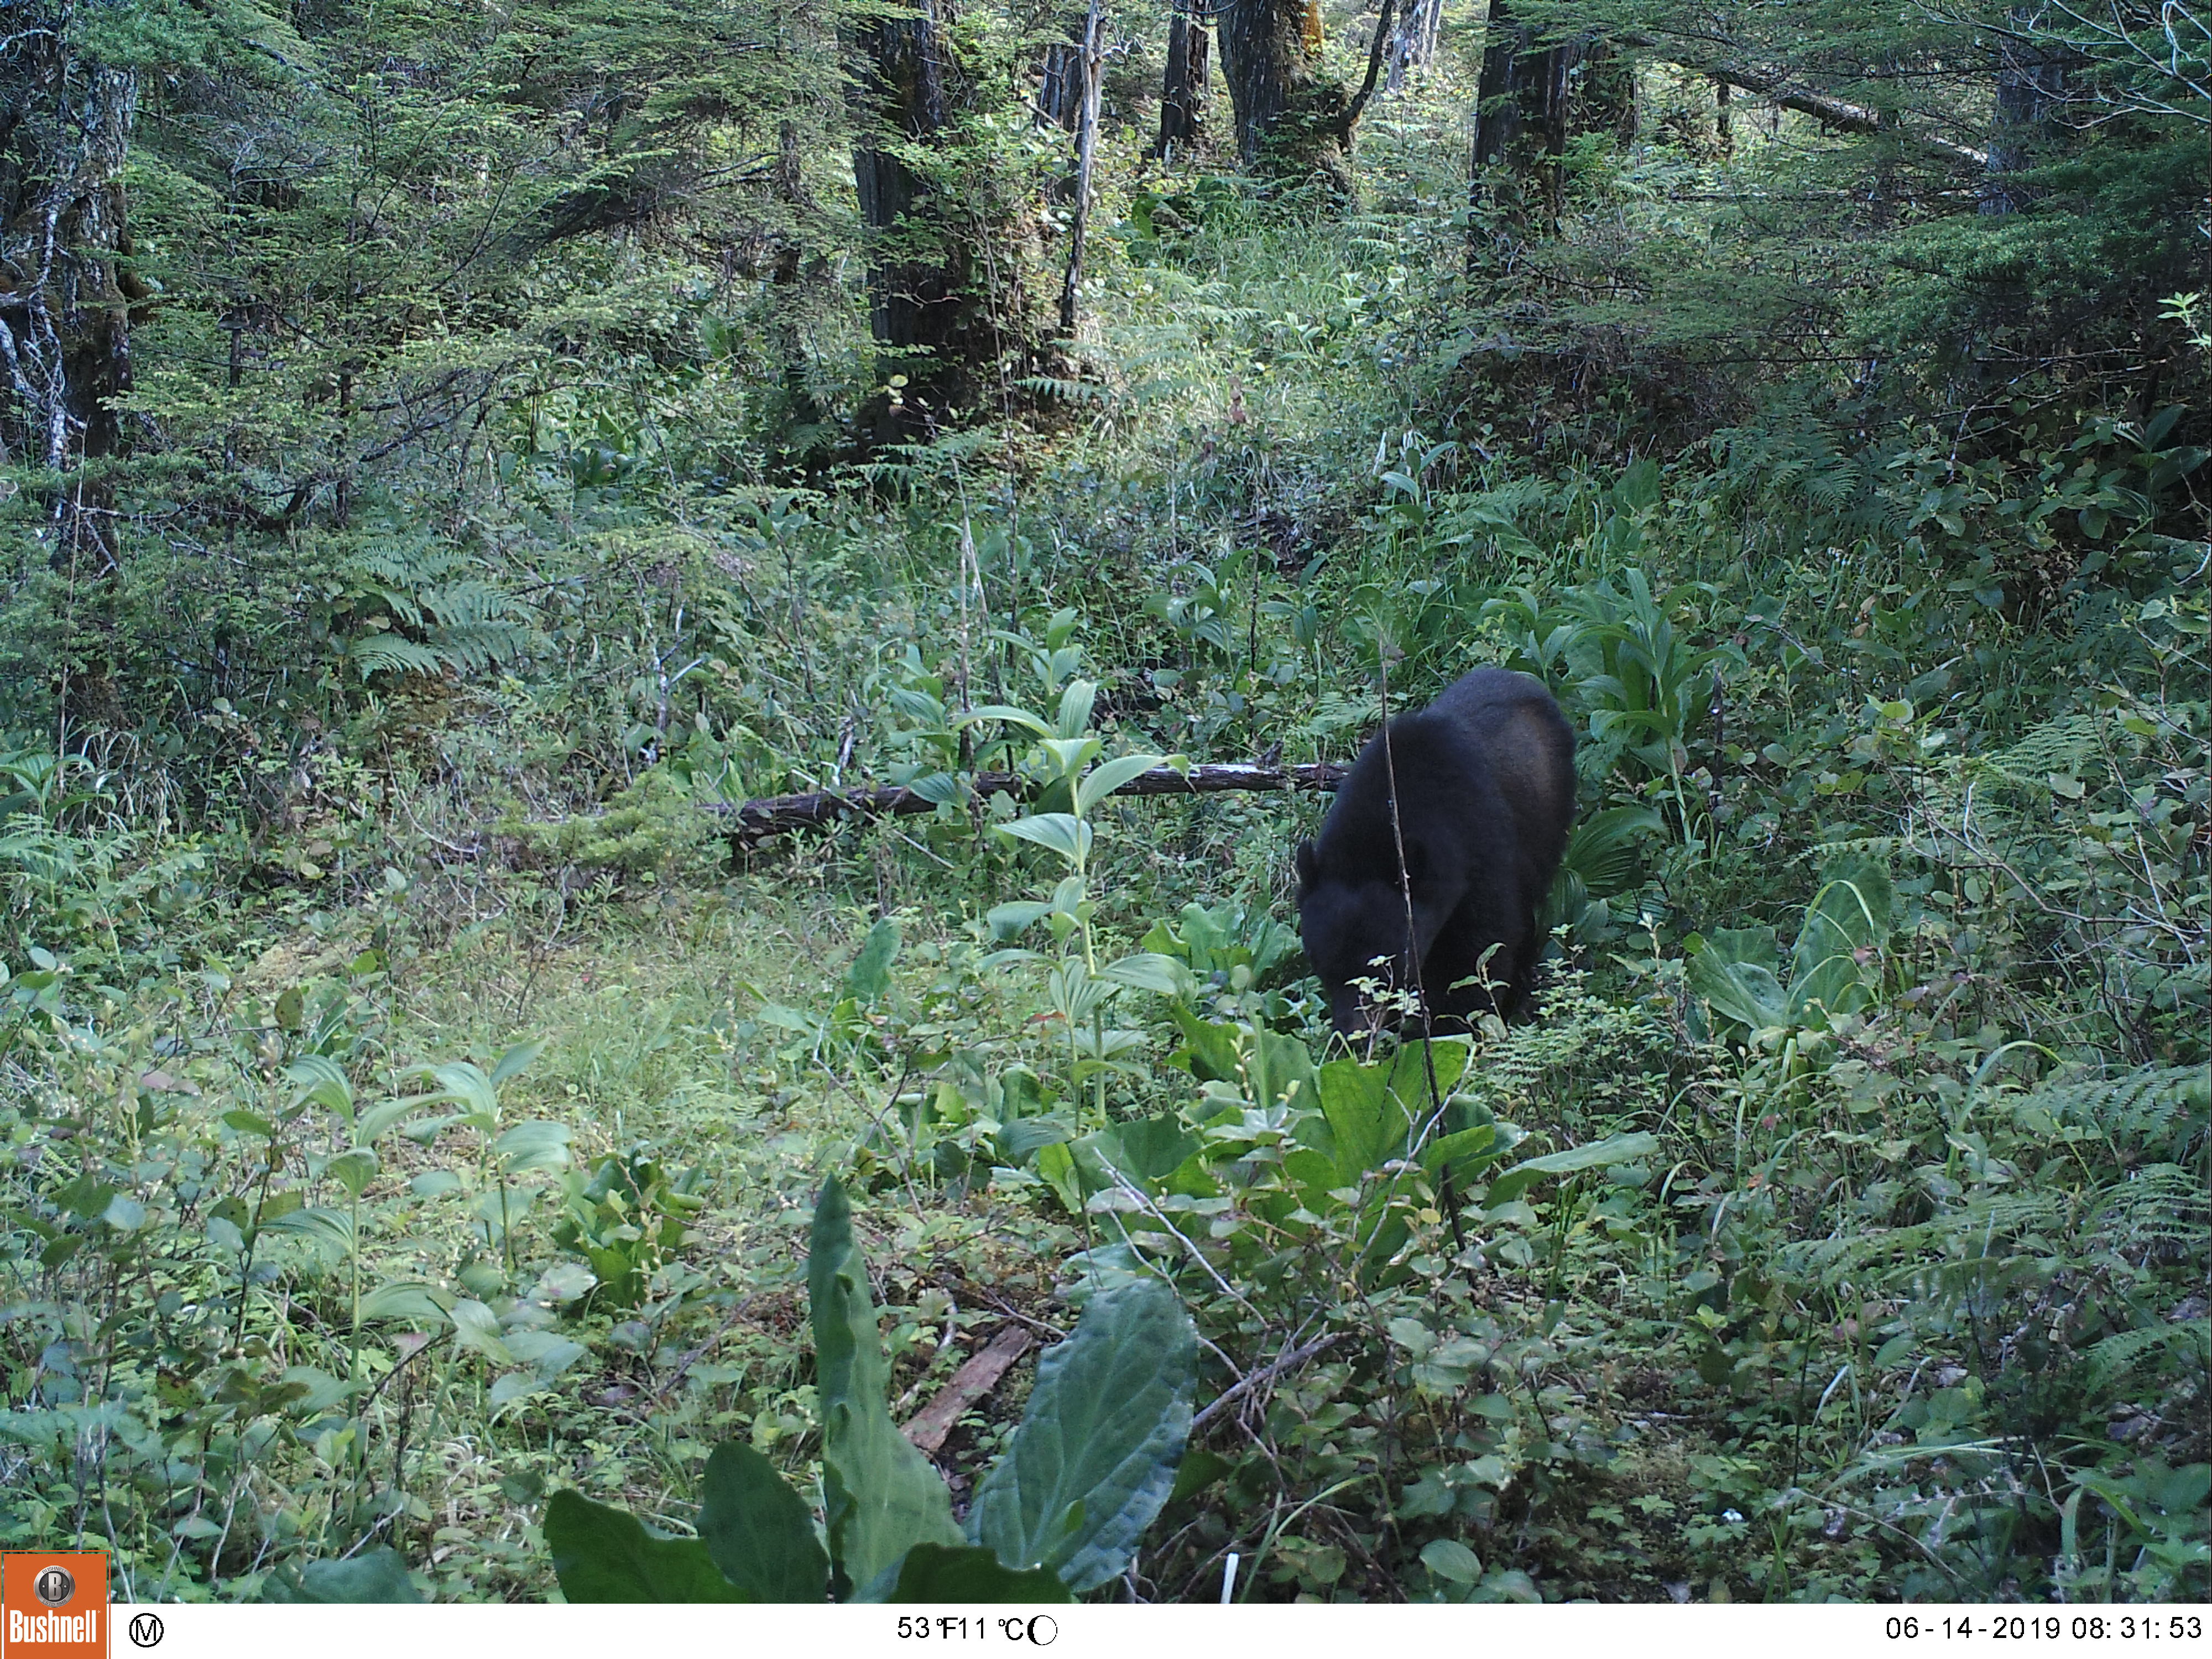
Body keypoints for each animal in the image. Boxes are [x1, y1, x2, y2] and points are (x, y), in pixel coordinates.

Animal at [1295, 667, 1577, 1036]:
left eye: (1386, 966)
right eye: (1323, 965)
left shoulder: (1477, 850)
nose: (1354, 1034)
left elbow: (1482, 949)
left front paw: (1454, 1026)